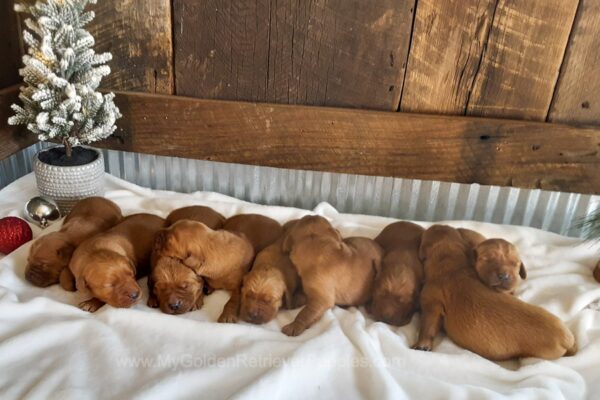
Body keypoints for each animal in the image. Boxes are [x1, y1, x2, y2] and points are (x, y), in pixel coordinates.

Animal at [412, 223, 576, 360]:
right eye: (487, 259)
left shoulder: (431, 301)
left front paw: (422, 345)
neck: (450, 262)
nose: (504, 276)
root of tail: (567, 339)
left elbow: (428, 324)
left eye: (515, 264)